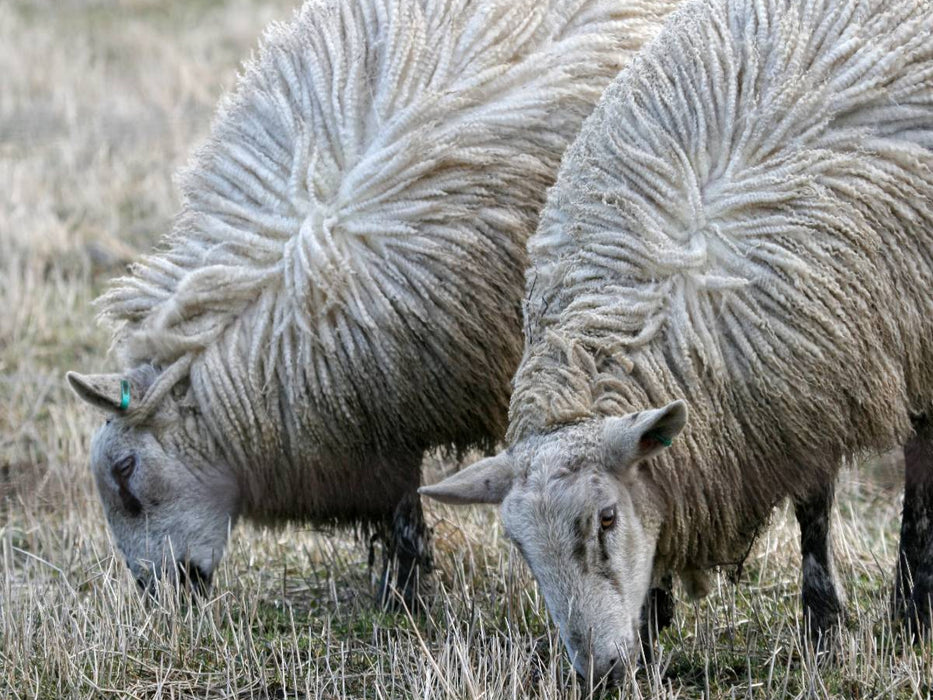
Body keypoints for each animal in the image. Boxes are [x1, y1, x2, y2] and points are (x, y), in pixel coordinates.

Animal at [65, 0, 678, 607]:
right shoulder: (379, 419)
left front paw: (403, 597)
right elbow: (399, 509)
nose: (159, 596)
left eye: (125, 471)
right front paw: (402, 591)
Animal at [420, 0, 933, 680]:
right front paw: (650, 624)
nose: (599, 673)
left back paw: (914, 606)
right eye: (521, 547)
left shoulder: (811, 378)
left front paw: (825, 629)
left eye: (606, 518)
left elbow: (815, 510)